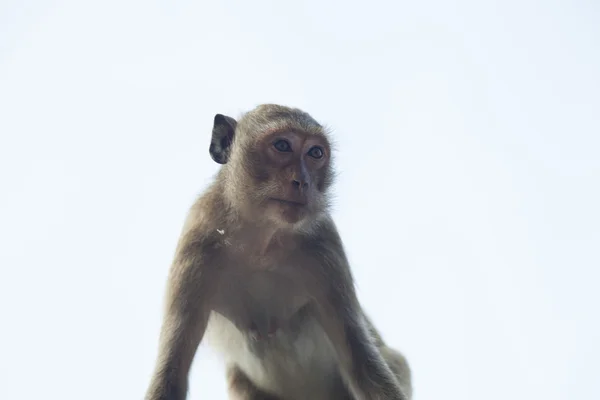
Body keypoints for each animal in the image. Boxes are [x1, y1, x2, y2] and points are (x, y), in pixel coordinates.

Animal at [144, 104, 412, 400]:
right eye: (282, 145)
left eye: (315, 153)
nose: (302, 181)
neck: (260, 241)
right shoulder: (196, 246)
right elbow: (171, 376)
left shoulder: (326, 249)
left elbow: (363, 367)